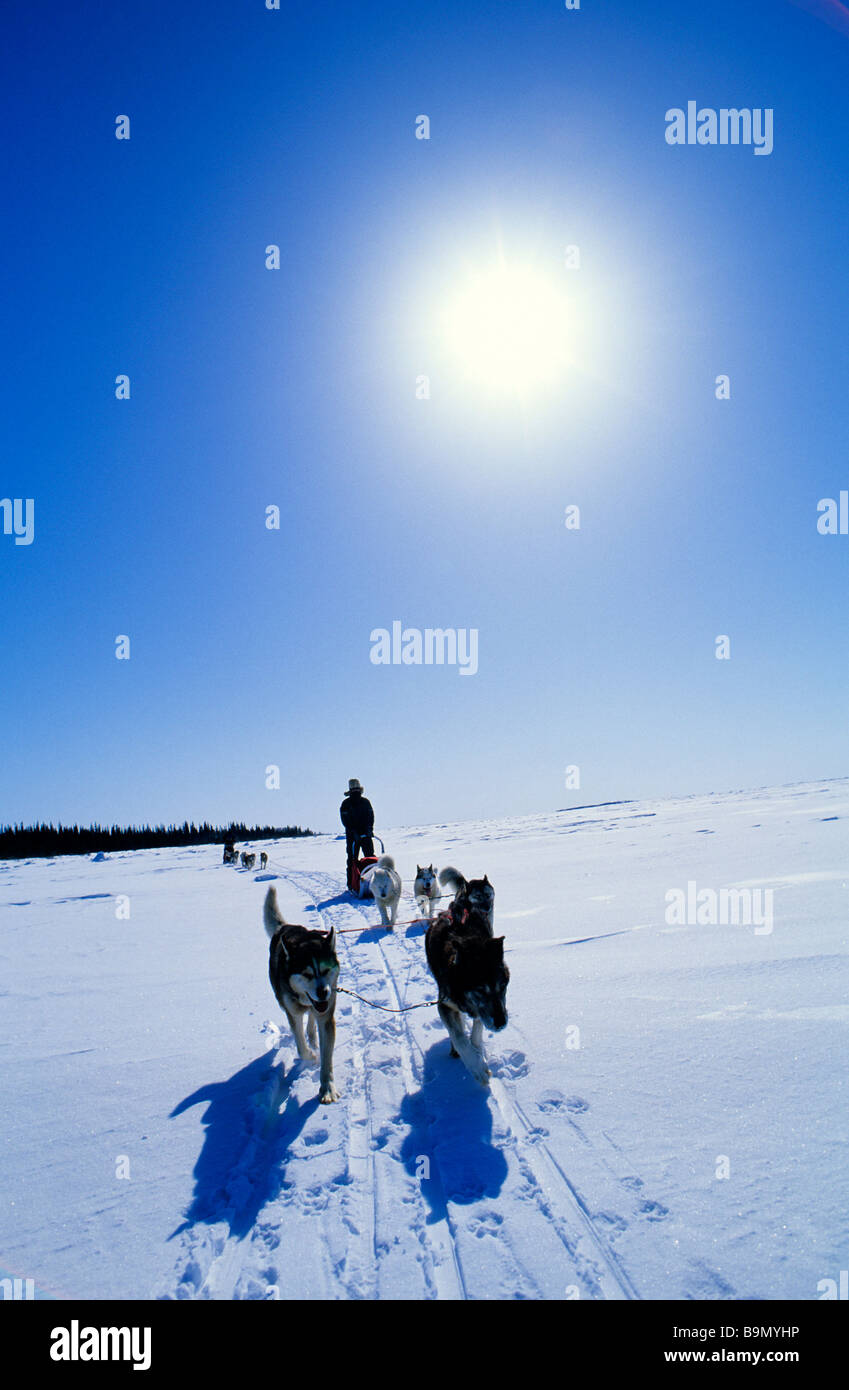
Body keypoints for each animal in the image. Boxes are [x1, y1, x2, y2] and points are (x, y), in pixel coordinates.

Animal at [262, 889, 339, 1106]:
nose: (323, 992)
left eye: (326, 970)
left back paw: (313, 1036)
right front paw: (311, 1056)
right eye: (306, 974)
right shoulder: (293, 1014)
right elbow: (300, 1046)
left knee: (312, 1019)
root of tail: (285, 927)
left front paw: (327, 1088)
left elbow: (327, 1059)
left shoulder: (326, 1016)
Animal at [427, 900, 508, 1084]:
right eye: (480, 990)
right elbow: (459, 1038)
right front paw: (477, 1067)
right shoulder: (445, 1004)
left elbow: (476, 1032)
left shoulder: (480, 1011)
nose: (501, 1023)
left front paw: (478, 1054)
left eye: (503, 986)